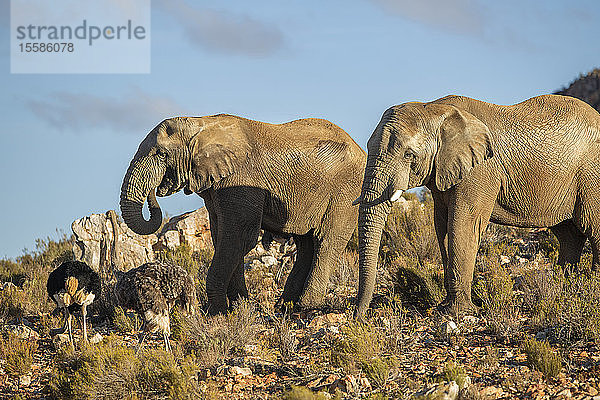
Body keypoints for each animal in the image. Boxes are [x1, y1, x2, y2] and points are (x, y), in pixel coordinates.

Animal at [120, 114, 366, 314]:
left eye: (162, 154)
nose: (155, 190)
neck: (201, 123)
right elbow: (223, 238)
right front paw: (240, 308)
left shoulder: (241, 182)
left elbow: (239, 238)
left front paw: (216, 313)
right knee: (306, 244)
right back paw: (285, 306)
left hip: (346, 192)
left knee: (326, 242)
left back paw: (306, 305)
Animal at [354, 94, 600, 318]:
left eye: (409, 155)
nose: (359, 316)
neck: (434, 107)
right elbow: (442, 227)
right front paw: (445, 307)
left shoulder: (480, 171)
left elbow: (463, 225)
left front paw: (457, 313)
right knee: (569, 235)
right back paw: (564, 290)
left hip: (591, 175)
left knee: (592, 228)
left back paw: (590, 289)